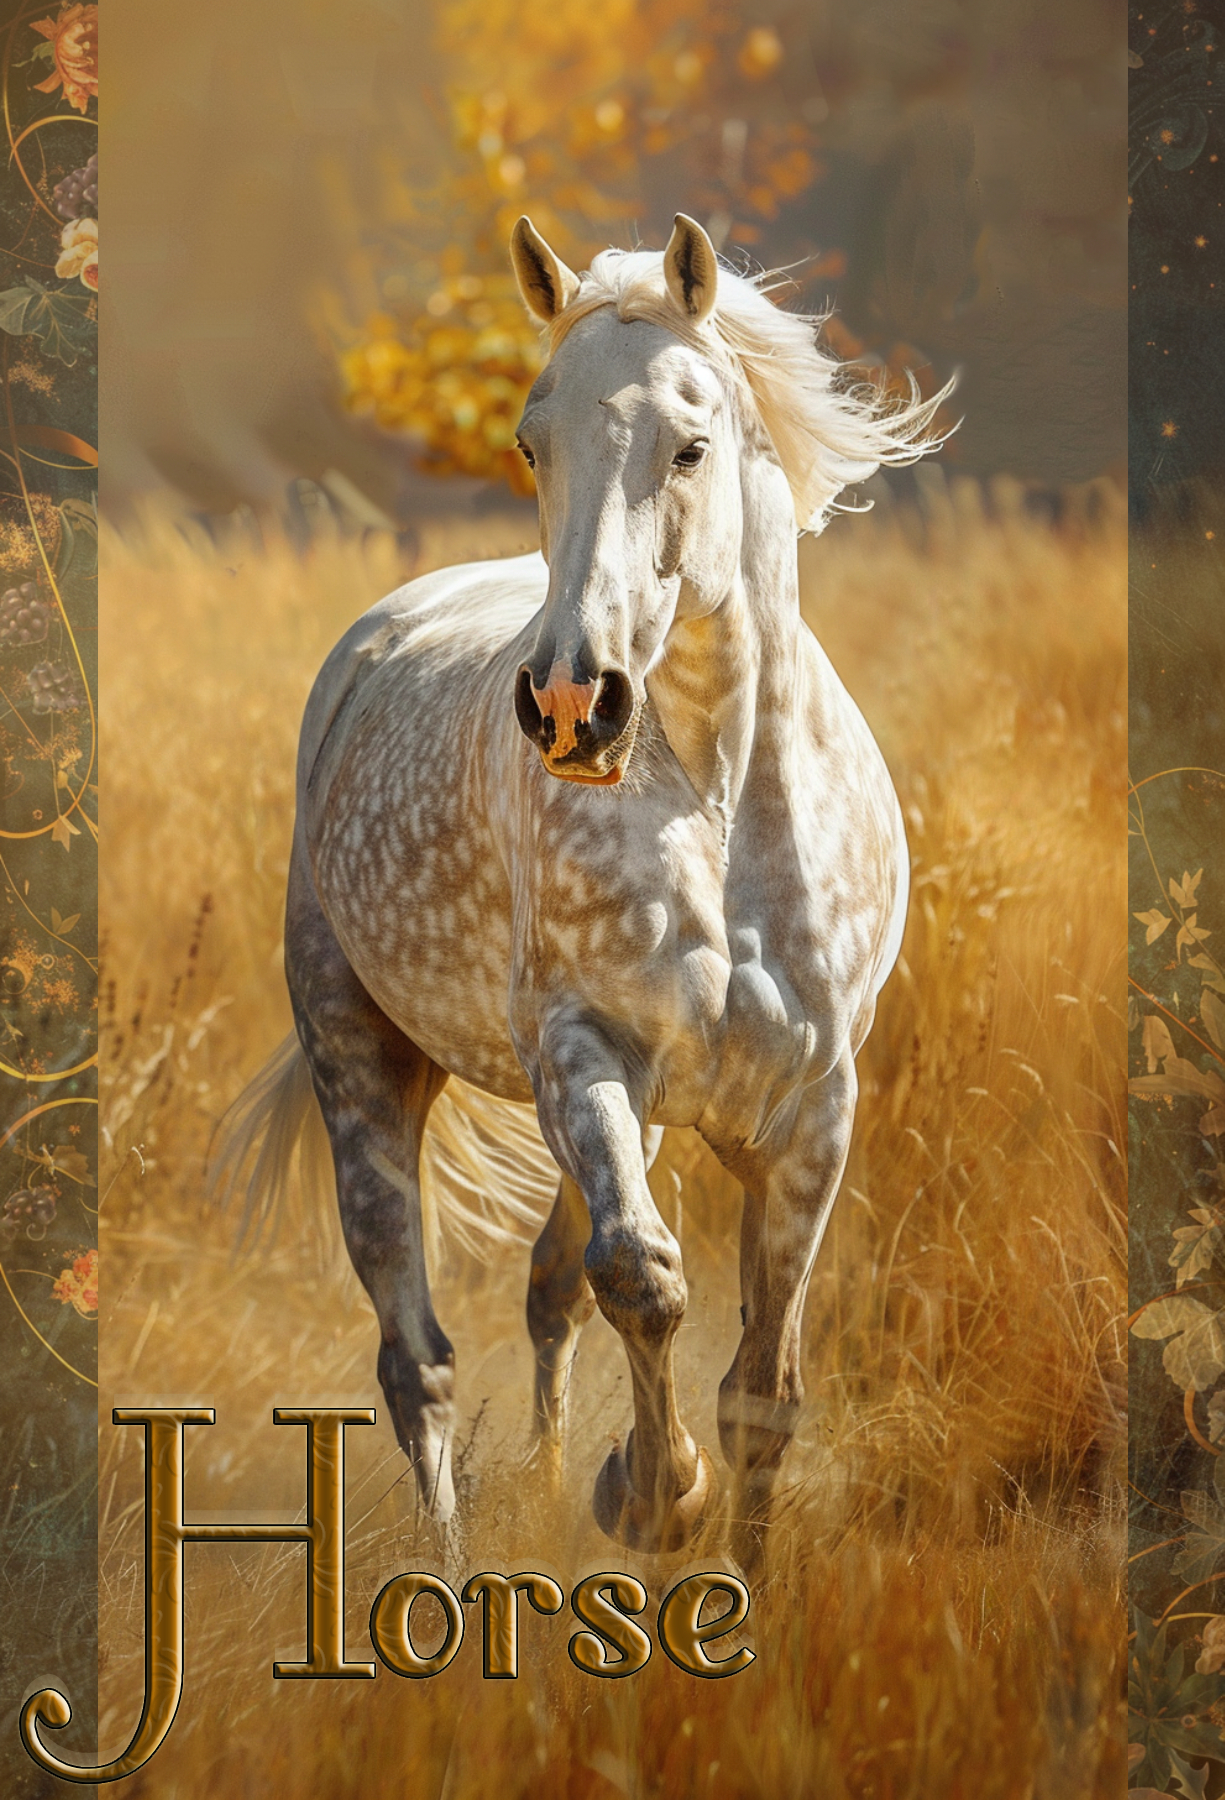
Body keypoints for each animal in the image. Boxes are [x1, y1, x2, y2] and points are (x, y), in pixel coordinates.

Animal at [216, 214, 950, 1563]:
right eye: (529, 439)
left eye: (690, 445)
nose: (572, 703)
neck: (717, 800)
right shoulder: (581, 1054)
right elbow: (641, 1279)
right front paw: (654, 1499)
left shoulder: (811, 1109)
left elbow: (762, 1390)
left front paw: (730, 1571)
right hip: (364, 1068)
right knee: (420, 1358)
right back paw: (457, 1573)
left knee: (544, 1294)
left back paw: (554, 1494)